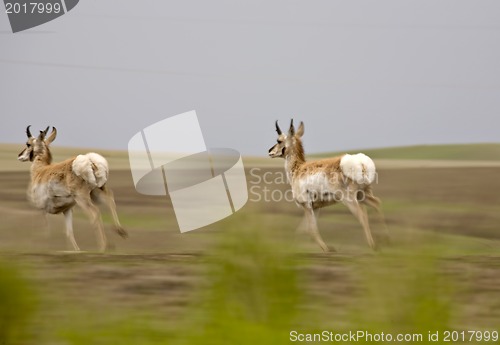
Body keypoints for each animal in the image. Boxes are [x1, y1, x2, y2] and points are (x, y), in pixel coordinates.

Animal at [270, 119, 386, 251]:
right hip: (363, 195)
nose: (270, 151)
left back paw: (372, 245)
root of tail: (361, 163)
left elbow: (311, 229)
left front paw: (327, 249)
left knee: (362, 215)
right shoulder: (315, 207)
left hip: (349, 199)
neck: (298, 169)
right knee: (377, 203)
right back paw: (385, 240)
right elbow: (303, 229)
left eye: (279, 140)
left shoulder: (306, 205)